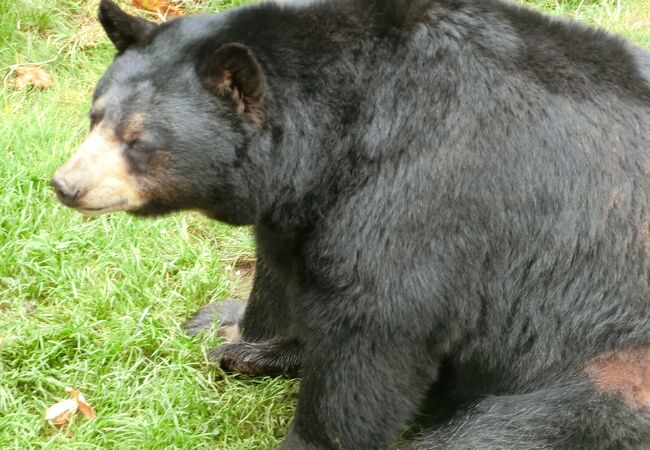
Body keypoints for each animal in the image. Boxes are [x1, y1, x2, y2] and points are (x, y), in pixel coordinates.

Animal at [50, 0, 648, 446]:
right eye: (96, 115)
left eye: (139, 141)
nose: (65, 184)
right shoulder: (306, 201)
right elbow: (281, 267)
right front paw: (227, 327)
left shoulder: (424, 192)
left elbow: (373, 332)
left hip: (613, 362)